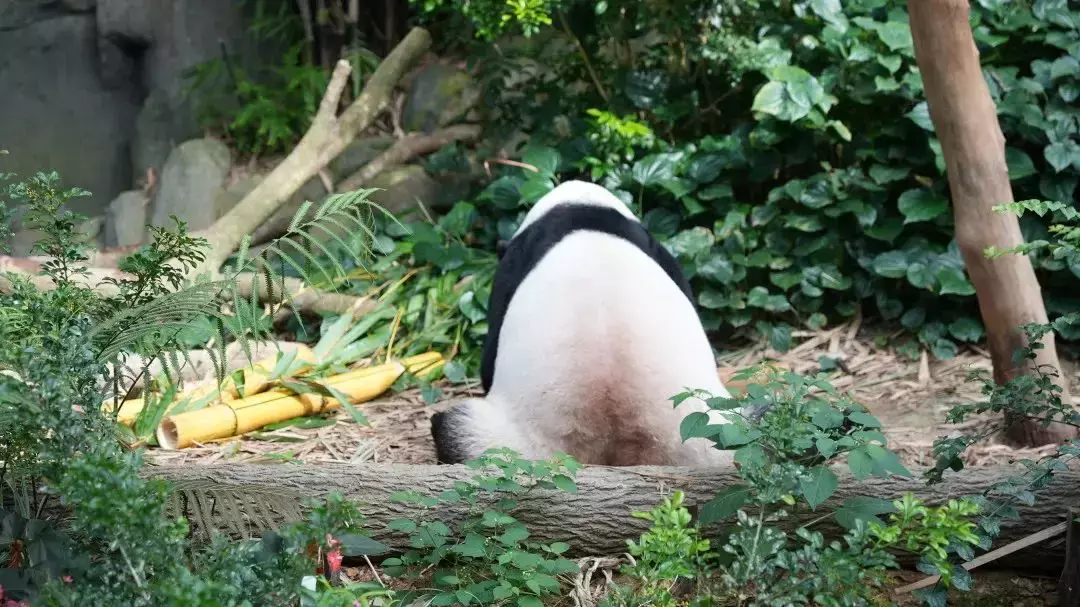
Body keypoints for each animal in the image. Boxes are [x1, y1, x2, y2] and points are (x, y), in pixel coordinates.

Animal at [429, 177, 743, 464]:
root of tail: (614, 439)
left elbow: (489, 357)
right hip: (713, 433)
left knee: (454, 428)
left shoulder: (514, 263)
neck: (581, 208)